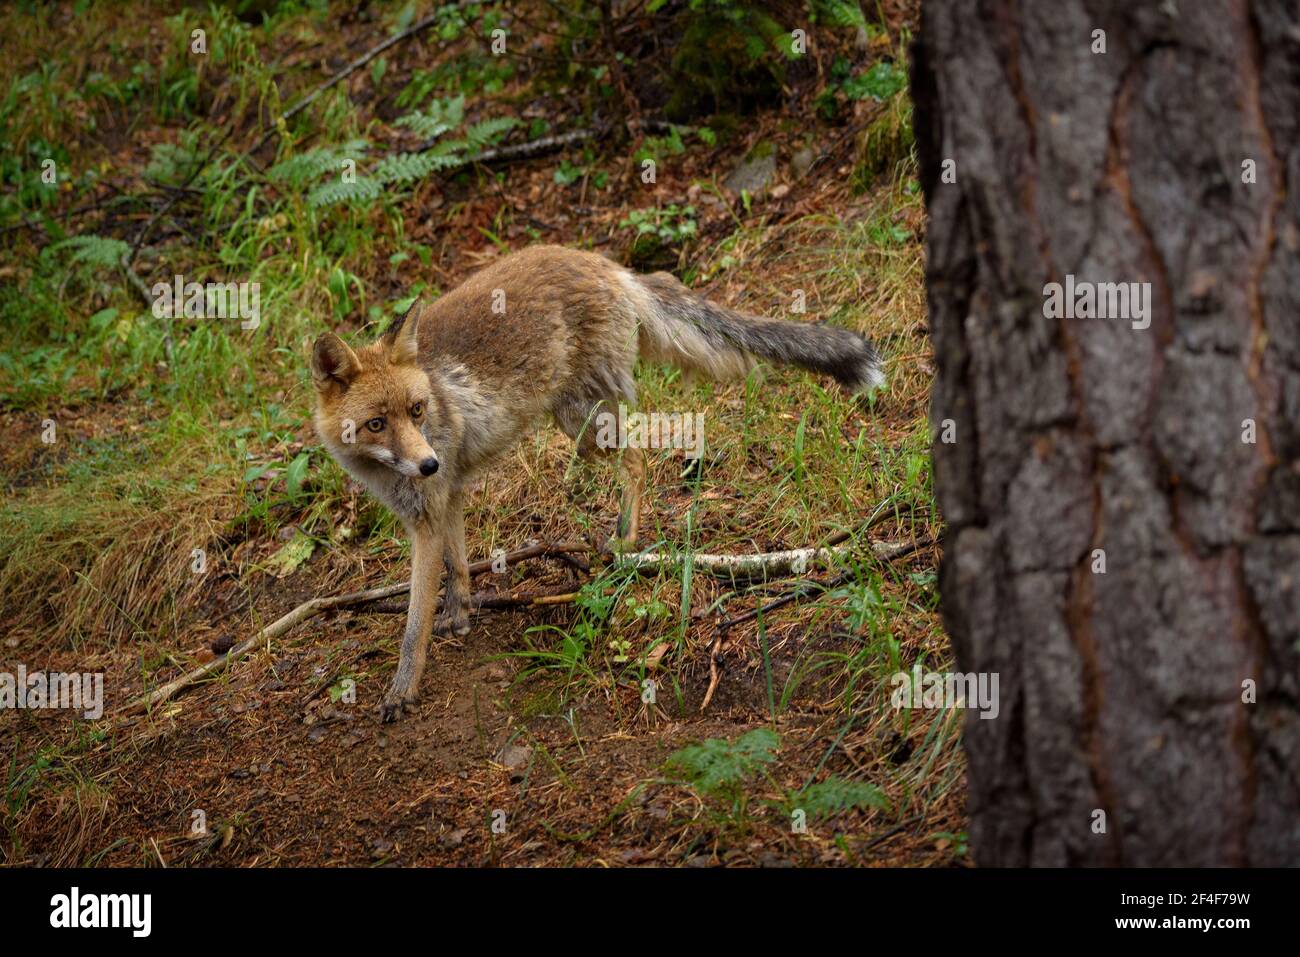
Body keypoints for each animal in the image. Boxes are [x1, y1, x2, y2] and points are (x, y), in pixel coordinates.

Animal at [309, 244, 889, 717]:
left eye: (417, 410)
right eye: (378, 423)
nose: (426, 463)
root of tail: (606, 264)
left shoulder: (430, 512)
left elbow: (413, 624)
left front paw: (403, 690)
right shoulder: (445, 497)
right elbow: (457, 568)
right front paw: (460, 614)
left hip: (585, 425)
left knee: (639, 462)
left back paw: (625, 544)